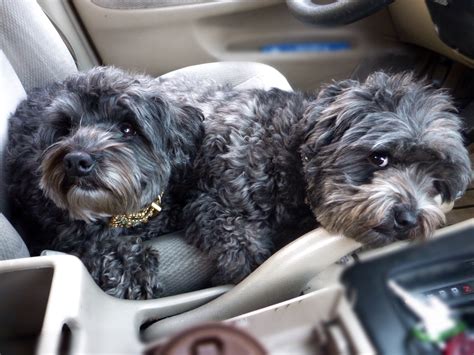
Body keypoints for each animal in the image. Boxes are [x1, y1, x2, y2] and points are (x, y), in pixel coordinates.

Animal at [6, 67, 204, 300]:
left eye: (127, 129)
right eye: (67, 128)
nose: (76, 161)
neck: (125, 216)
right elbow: (95, 244)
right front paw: (131, 268)